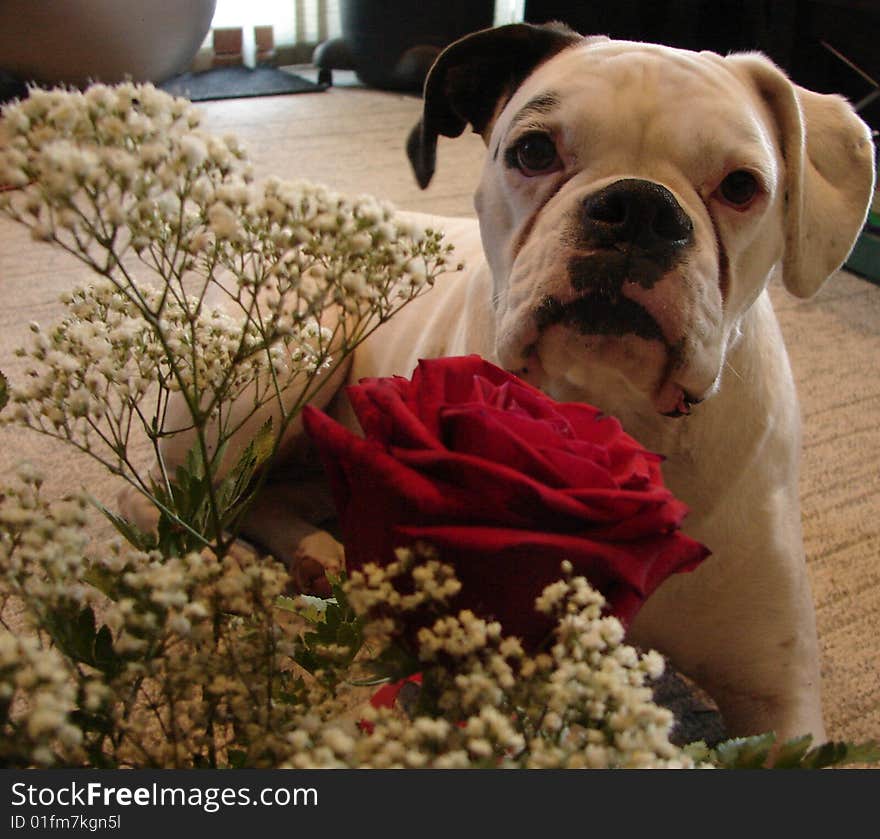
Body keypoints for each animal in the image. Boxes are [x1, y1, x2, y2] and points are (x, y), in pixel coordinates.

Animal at [122, 23, 872, 740]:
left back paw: (314, 552)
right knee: (173, 502)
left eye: (742, 186)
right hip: (294, 361)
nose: (638, 207)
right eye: (534, 151)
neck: (614, 409)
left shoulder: (778, 695)